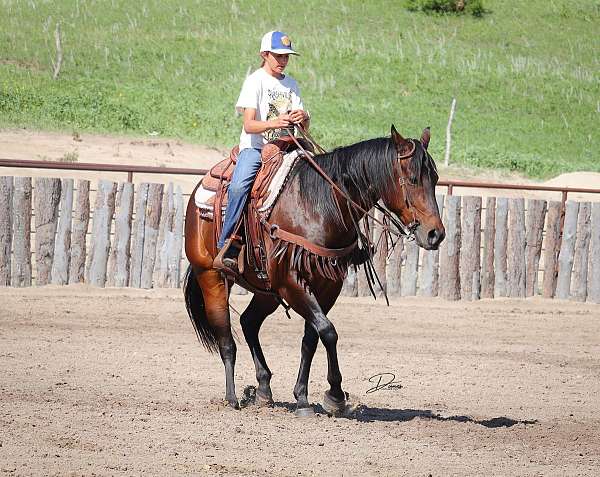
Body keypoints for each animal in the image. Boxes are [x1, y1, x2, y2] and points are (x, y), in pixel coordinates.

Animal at [183, 124, 446, 414]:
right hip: (211, 276)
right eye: (412, 178)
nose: (435, 234)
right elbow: (328, 331)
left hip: (266, 290)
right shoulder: (290, 282)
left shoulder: (328, 285)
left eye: (434, 178)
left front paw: (304, 398)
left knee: (249, 322)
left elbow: (313, 336)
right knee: (226, 339)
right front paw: (335, 395)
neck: (318, 205)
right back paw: (231, 398)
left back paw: (263, 389)